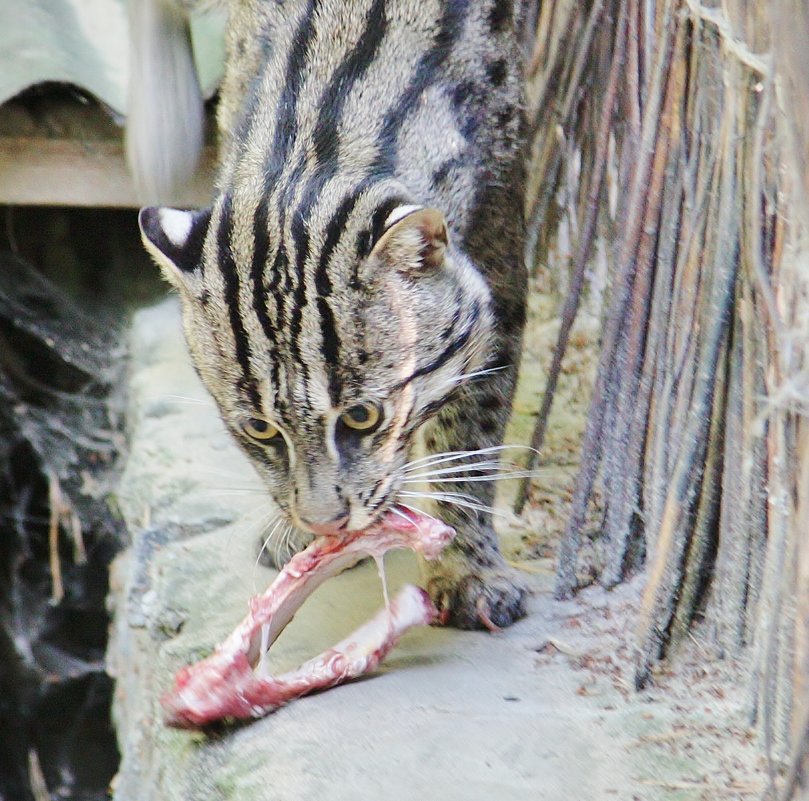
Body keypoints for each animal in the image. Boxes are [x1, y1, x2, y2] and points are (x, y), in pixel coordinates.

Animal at [137, 0, 532, 628]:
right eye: (259, 429)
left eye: (364, 417)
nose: (325, 523)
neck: (316, 141)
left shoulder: (499, 262)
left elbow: (471, 432)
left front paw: (469, 569)